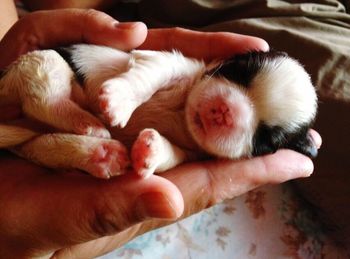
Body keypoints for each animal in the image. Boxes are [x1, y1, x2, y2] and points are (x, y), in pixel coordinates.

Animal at [0, 44, 318, 179]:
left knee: (41, 144)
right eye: (239, 71)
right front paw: (118, 100)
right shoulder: (170, 62)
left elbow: (171, 153)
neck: (182, 113)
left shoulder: (190, 152)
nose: (225, 112)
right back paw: (89, 122)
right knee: (44, 98)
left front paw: (149, 152)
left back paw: (101, 153)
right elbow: (150, 74)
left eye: (265, 140)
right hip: (39, 63)